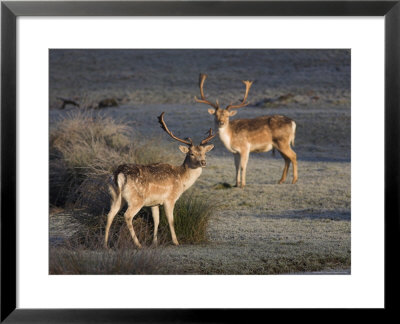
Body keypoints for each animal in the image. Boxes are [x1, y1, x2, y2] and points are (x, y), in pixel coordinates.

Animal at [103, 112, 216, 248]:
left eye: (204, 153)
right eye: (191, 153)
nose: (203, 162)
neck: (182, 180)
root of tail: (119, 174)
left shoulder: (154, 203)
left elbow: (156, 220)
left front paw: (155, 242)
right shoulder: (170, 199)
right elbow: (171, 220)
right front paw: (176, 242)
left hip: (115, 196)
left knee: (110, 215)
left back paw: (105, 245)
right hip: (136, 199)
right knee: (127, 216)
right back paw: (138, 244)